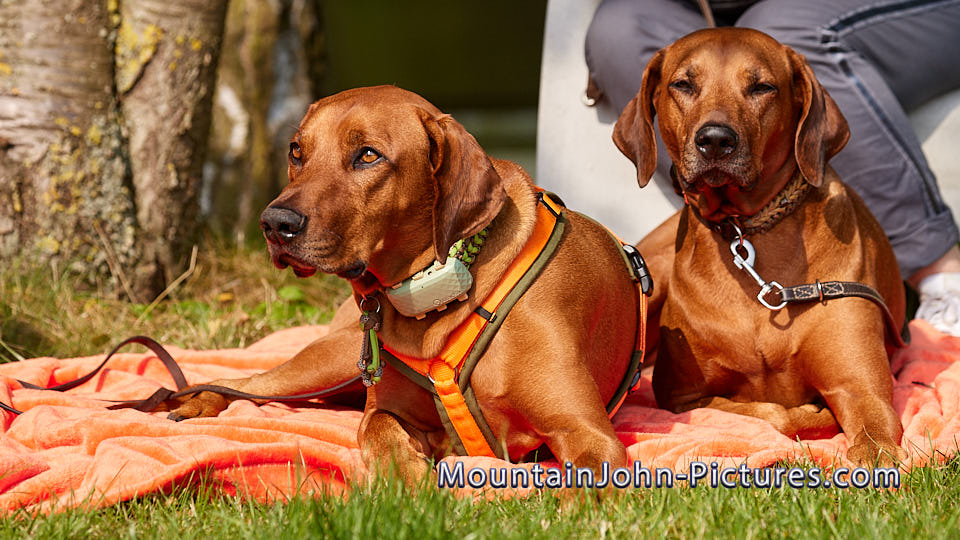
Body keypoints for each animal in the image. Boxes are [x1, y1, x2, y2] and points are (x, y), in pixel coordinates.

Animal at [170, 85, 645, 481]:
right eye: (297, 151)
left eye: (368, 155)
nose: (274, 223)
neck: (443, 295)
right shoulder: (387, 407)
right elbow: (376, 427)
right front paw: (406, 480)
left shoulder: (587, 431)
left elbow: (587, 483)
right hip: (336, 360)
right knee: (242, 382)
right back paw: (195, 402)